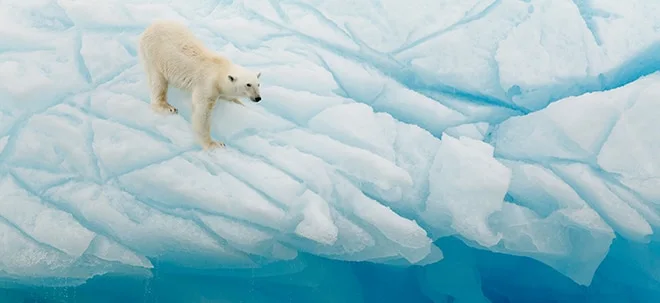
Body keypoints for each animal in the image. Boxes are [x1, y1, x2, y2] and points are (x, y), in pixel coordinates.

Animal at [138, 19, 262, 150]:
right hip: (155, 55)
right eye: (248, 84)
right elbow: (202, 112)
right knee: (158, 81)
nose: (258, 98)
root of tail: (148, 29)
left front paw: (241, 104)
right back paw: (167, 107)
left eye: (258, 84)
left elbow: (228, 96)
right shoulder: (207, 84)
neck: (220, 69)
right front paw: (214, 144)